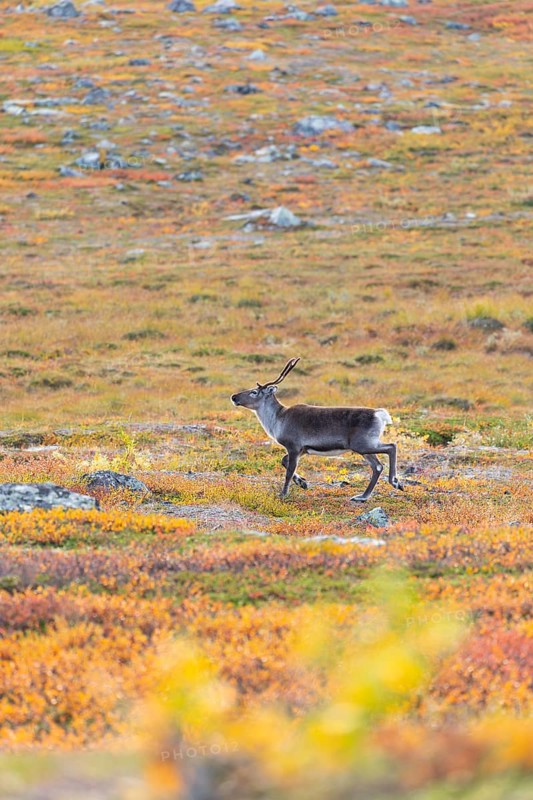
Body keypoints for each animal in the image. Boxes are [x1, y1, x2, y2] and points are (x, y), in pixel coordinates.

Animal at [231, 357, 404, 503]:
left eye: (254, 392)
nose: (233, 397)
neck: (277, 419)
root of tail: (380, 414)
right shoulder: (303, 449)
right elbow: (283, 461)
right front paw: (302, 482)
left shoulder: (293, 446)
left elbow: (288, 471)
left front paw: (283, 494)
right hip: (365, 447)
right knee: (378, 466)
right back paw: (363, 496)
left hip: (362, 444)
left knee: (391, 447)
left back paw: (395, 482)